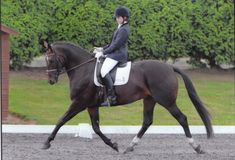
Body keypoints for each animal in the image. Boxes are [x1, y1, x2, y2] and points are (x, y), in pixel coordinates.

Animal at [41, 41, 213, 154]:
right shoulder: (91, 105)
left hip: (167, 101)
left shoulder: (79, 103)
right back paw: (130, 146)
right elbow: (96, 128)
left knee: (182, 118)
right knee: (147, 121)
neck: (83, 69)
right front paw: (114, 145)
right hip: (150, 100)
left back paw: (196, 147)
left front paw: (47, 142)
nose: (51, 81)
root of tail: (169, 67)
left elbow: (61, 120)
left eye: (51, 60)